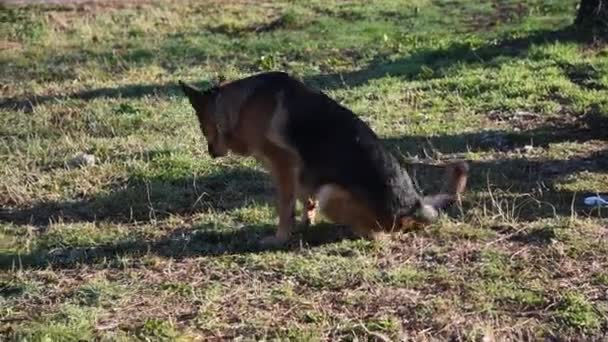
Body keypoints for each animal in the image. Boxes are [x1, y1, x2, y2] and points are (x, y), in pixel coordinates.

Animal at [178, 72, 468, 247]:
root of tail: (414, 206)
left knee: (379, 234)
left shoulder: (283, 164)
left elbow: (285, 207)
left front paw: (281, 237)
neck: (237, 105)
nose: (211, 153)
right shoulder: (297, 172)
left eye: (202, 127)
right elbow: (304, 199)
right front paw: (306, 222)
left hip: (330, 193)